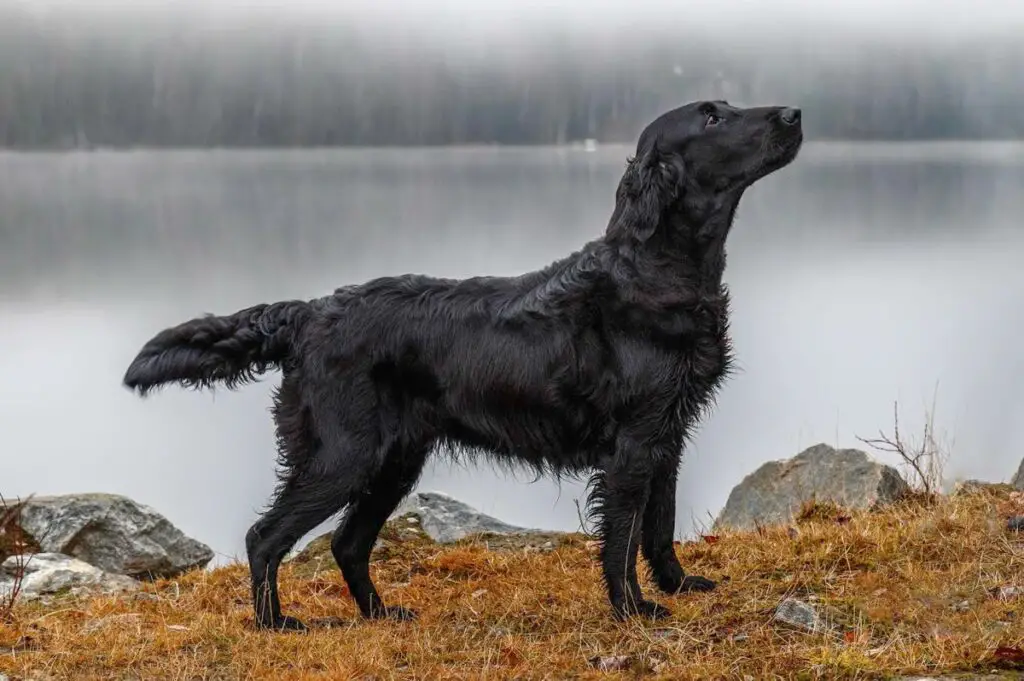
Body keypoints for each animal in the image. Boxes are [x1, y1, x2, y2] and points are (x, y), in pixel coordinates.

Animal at [123, 99, 802, 626]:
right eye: (713, 116)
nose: (794, 113)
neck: (655, 271)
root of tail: (310, 312)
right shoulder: (634, 442)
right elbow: (623, 537)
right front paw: (633, 609)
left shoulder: (669, 430)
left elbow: (659, 525)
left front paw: (680, 584)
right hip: (345, 454)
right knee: (266, 536)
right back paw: (276, 625)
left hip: (394, 459)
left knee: (346, 542)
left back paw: (379, 614)